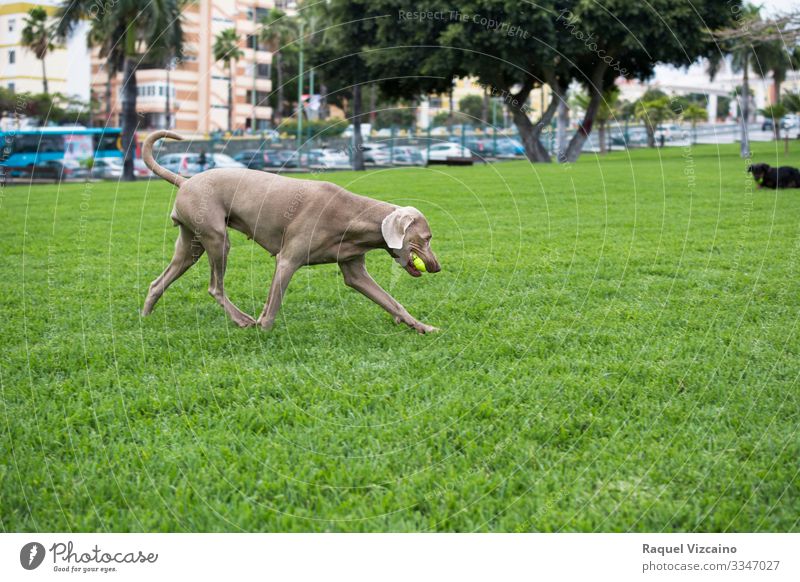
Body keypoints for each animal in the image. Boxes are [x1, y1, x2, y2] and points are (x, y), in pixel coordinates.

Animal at [141, 131, 440, 334]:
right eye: (426, 238)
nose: (437, 267)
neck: (353, 214)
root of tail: (185, 181)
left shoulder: (354, 270)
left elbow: (392, 302)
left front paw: (423, 326)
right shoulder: (287, 260)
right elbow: (273, 305)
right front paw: (263, 330)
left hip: (192, 243)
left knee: (159, 281)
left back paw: (145, 316)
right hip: (216, 238)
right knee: (215, 287)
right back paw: (242, 320)